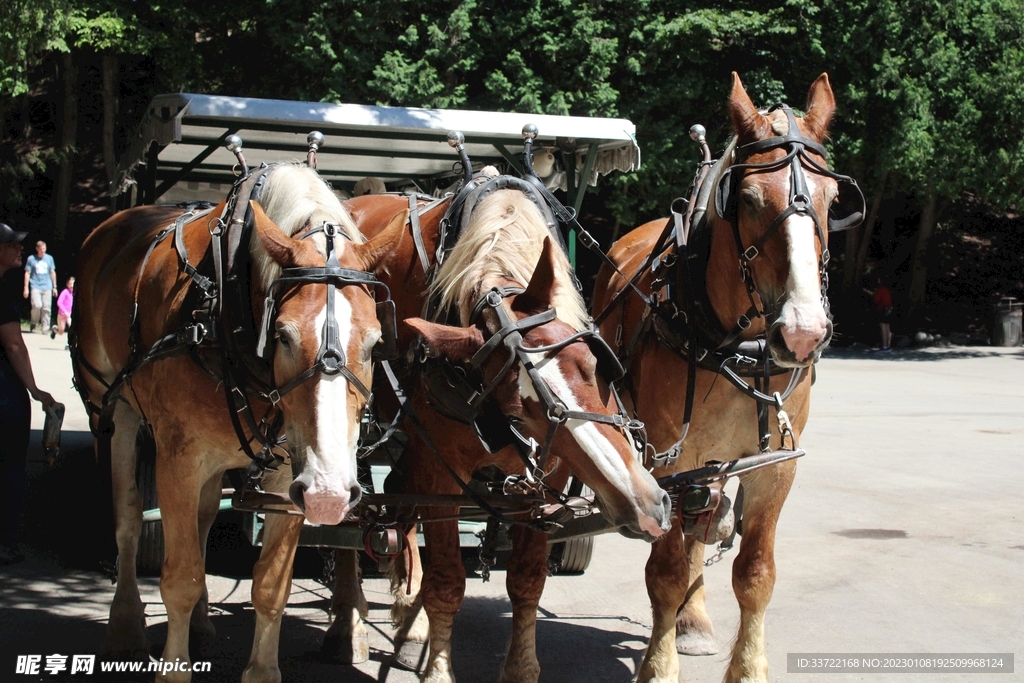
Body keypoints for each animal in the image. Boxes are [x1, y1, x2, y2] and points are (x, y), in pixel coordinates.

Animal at [72, 162, 408, 683]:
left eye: (375, 343)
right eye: (284, 335)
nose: (331, 495)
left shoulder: (292, 473)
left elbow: (270, 585)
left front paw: (261, 669)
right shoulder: (178, 459)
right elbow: (181, 577)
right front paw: (174, 669)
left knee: (205, 515)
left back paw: (200, 624)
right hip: (114, 410)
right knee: (127, 519)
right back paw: (124, 626)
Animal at [325, 182, 672, 682]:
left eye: (591, 364)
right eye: (517, 410)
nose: (647, 505)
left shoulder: (546, 480)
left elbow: (527, 579)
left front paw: (521, 667)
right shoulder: (441, 474)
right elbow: (447, 580)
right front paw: (439, 669)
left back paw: (409, 624)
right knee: (353, 517)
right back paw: (349, 623)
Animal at [591, 73, 861, 683]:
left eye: (833, 201)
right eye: (749, 200)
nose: (803, 332)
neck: (739, 345)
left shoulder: (774, 466)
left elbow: (755, 573)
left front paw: (747, 666)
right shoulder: (668, 460)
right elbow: (665, 569)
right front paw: (658, 666)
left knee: (704, 523)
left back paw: (693, 622)